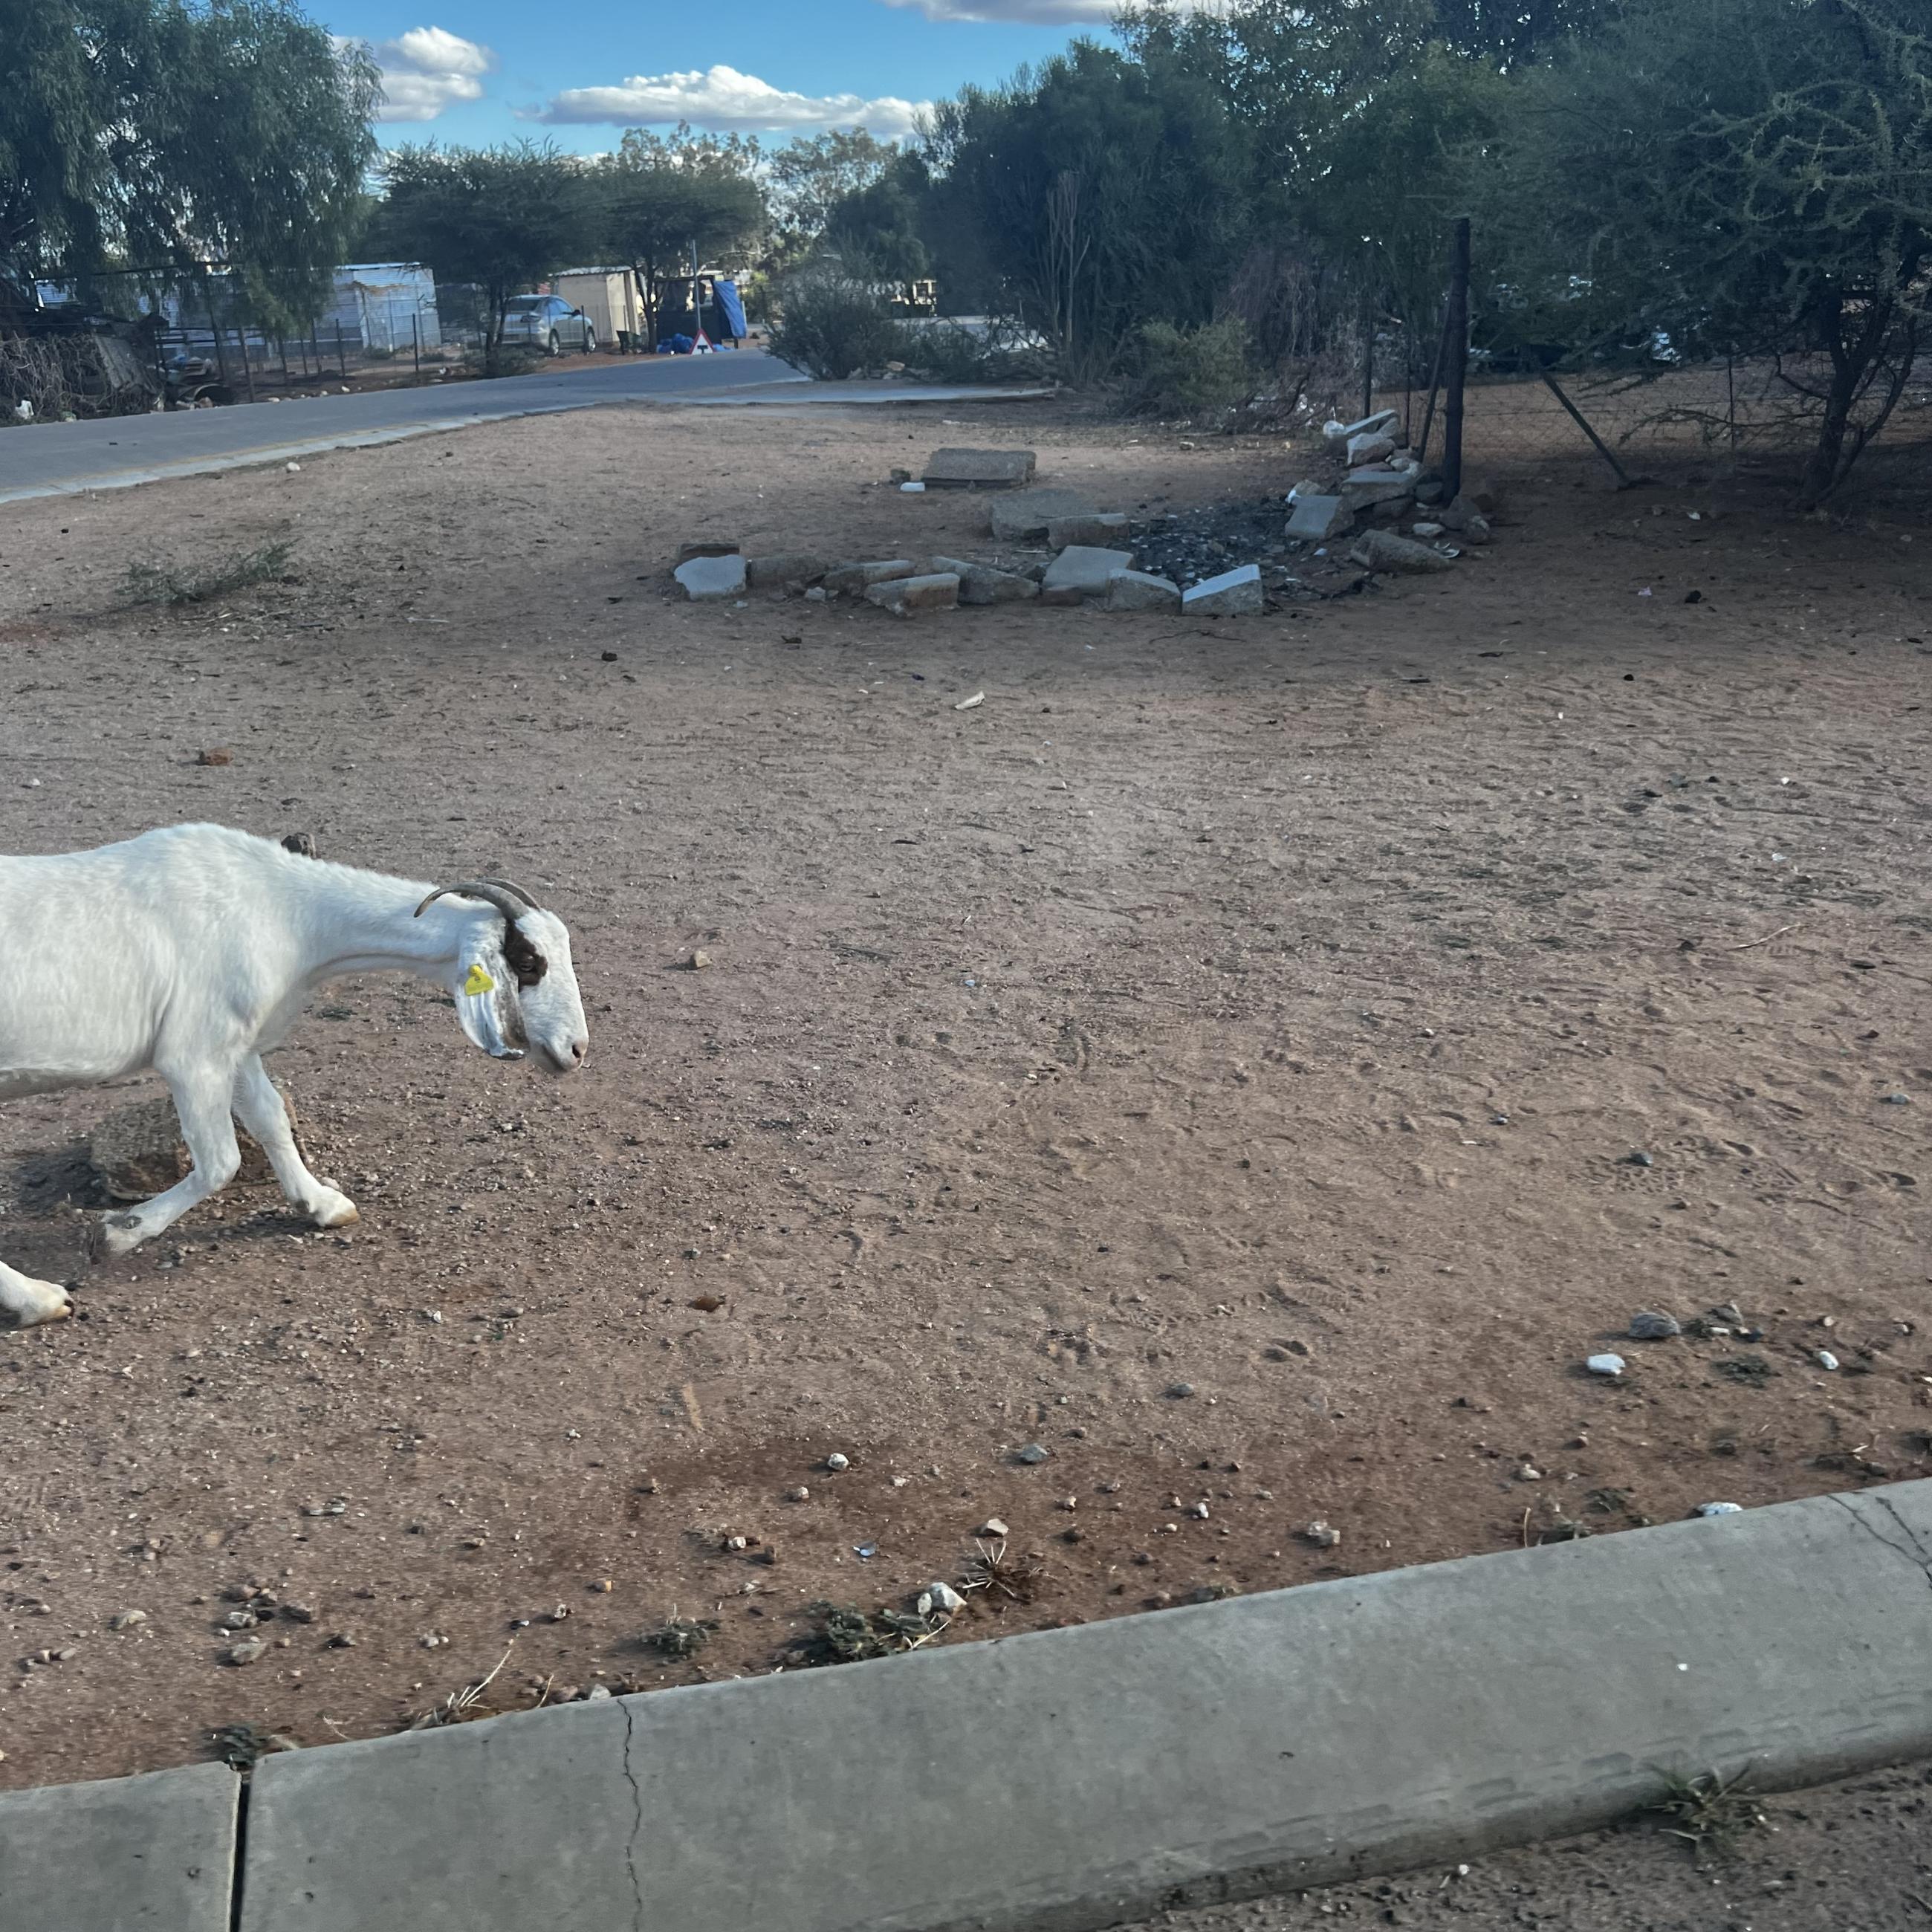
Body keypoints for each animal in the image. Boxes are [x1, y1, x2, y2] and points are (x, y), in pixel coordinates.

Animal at [0, 815, 587, 1329]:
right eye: (529, 962)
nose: (575, 1048)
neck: (281, 909)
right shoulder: (195, 1055)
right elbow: (222, 1161)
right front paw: (117, 1233)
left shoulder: (237, 1047)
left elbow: (271, 1119)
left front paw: (322, 1205)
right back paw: (38, 1299)